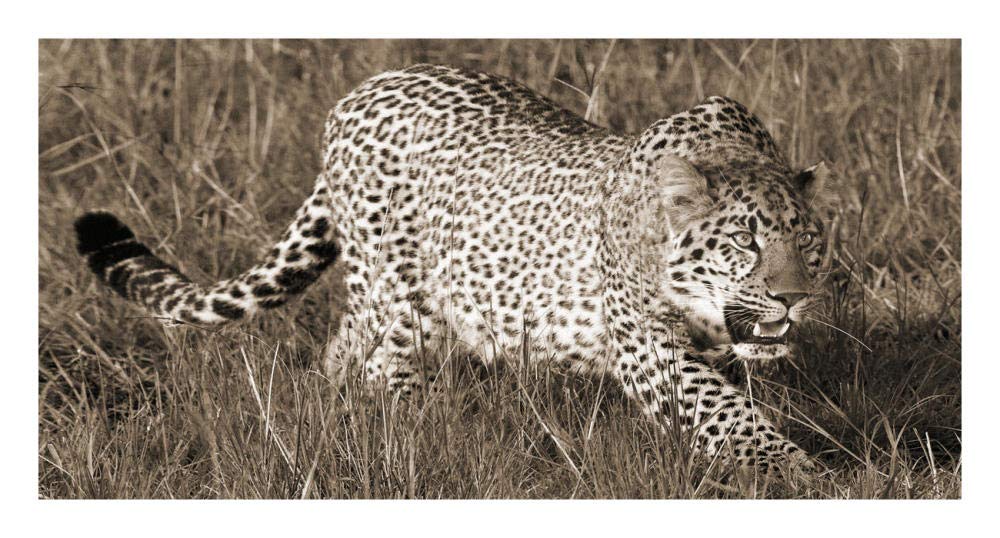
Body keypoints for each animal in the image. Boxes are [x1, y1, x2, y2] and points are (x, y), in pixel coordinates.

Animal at [75, 63, 834, 477]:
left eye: (808, 242)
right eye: (744, 241)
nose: (794, 298)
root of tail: (354, 96)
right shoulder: (649, 348)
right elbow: (727, 414)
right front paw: (800, 474)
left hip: (382, 300)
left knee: (342, 351)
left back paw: (344, 414)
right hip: (404, 296)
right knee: (381, 365)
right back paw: (414, 433)